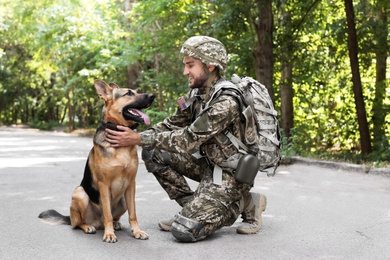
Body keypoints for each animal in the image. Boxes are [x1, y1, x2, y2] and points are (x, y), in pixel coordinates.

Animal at [39, 80, 154, 243]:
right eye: (129, 93)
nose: (153, 96)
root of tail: (97, 223)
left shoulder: (131, 184)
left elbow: (133, 214)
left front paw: (137, 231)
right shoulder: (103, 184)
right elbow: (107, 213)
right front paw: (109, 234)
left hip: (123, 200)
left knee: (113, 217)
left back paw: (115, 224)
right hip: (80, 193)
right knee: (77, 224)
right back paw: (89, 227)